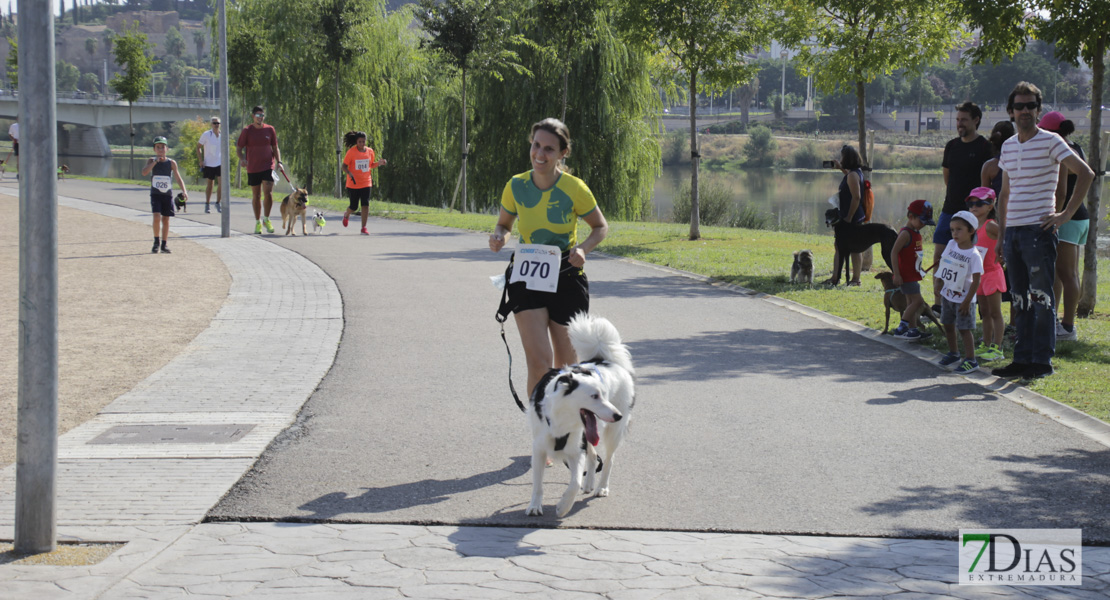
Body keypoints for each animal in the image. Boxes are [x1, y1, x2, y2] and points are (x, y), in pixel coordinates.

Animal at [526, 312, 634, 514]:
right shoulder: (539, 448)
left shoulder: (576, 449)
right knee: (593, 456)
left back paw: (601, 487)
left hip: (613, 433)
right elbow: (537, 483)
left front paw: (563, 507)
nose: (618, 416)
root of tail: (606, 360)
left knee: (609, 459)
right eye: (594, 396)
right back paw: (590, 484)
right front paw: (535, 506)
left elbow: (574, 482)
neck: (561, 419)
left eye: (604, 394)